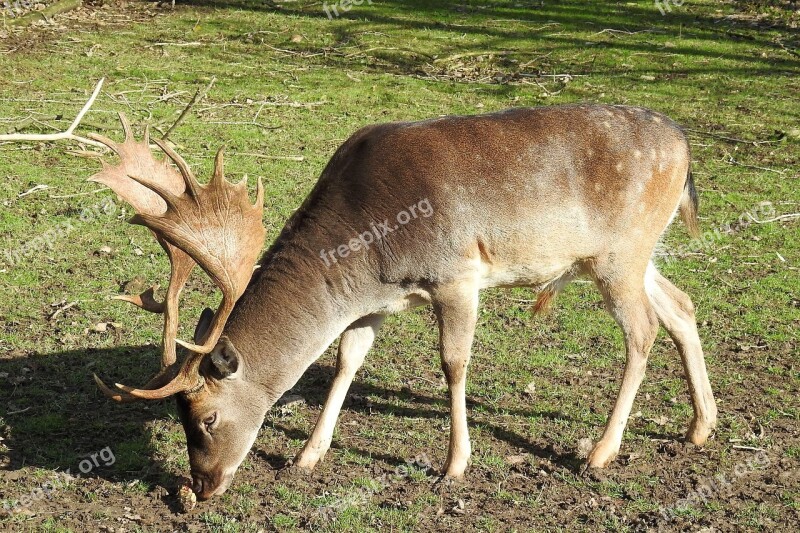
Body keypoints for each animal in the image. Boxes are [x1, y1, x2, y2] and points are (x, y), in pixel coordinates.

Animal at [89, 105, 720, 498]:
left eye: (207, 416)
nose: (200, 485)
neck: (368, 253)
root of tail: (686, 146)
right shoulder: (375, 305)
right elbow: (344, 361)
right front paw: (307, 455)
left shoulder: (457, 274)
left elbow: (454, 364)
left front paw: (455, 465)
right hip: (630, 255)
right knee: (682, 305)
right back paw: (699, 427)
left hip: (619, 253)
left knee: (643, 330)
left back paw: (600, 452)